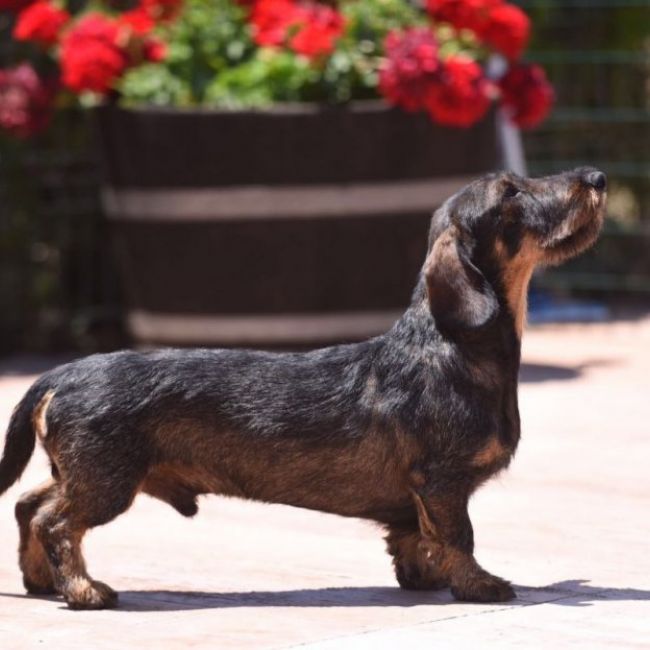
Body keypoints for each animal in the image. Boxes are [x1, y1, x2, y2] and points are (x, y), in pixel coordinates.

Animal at [1, 165, 608, 604]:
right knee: (57, 522)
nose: (598, 177)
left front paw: (423, 576)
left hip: (85, 473)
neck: (452, 345)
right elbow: (459, 535)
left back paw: (39, 580)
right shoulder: (442, 480)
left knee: (29, 505)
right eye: (511, 193)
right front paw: (479, 584)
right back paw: (83, 590)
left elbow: (414, 536)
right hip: (108, 480)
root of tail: (60, 372)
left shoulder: (418, 495)